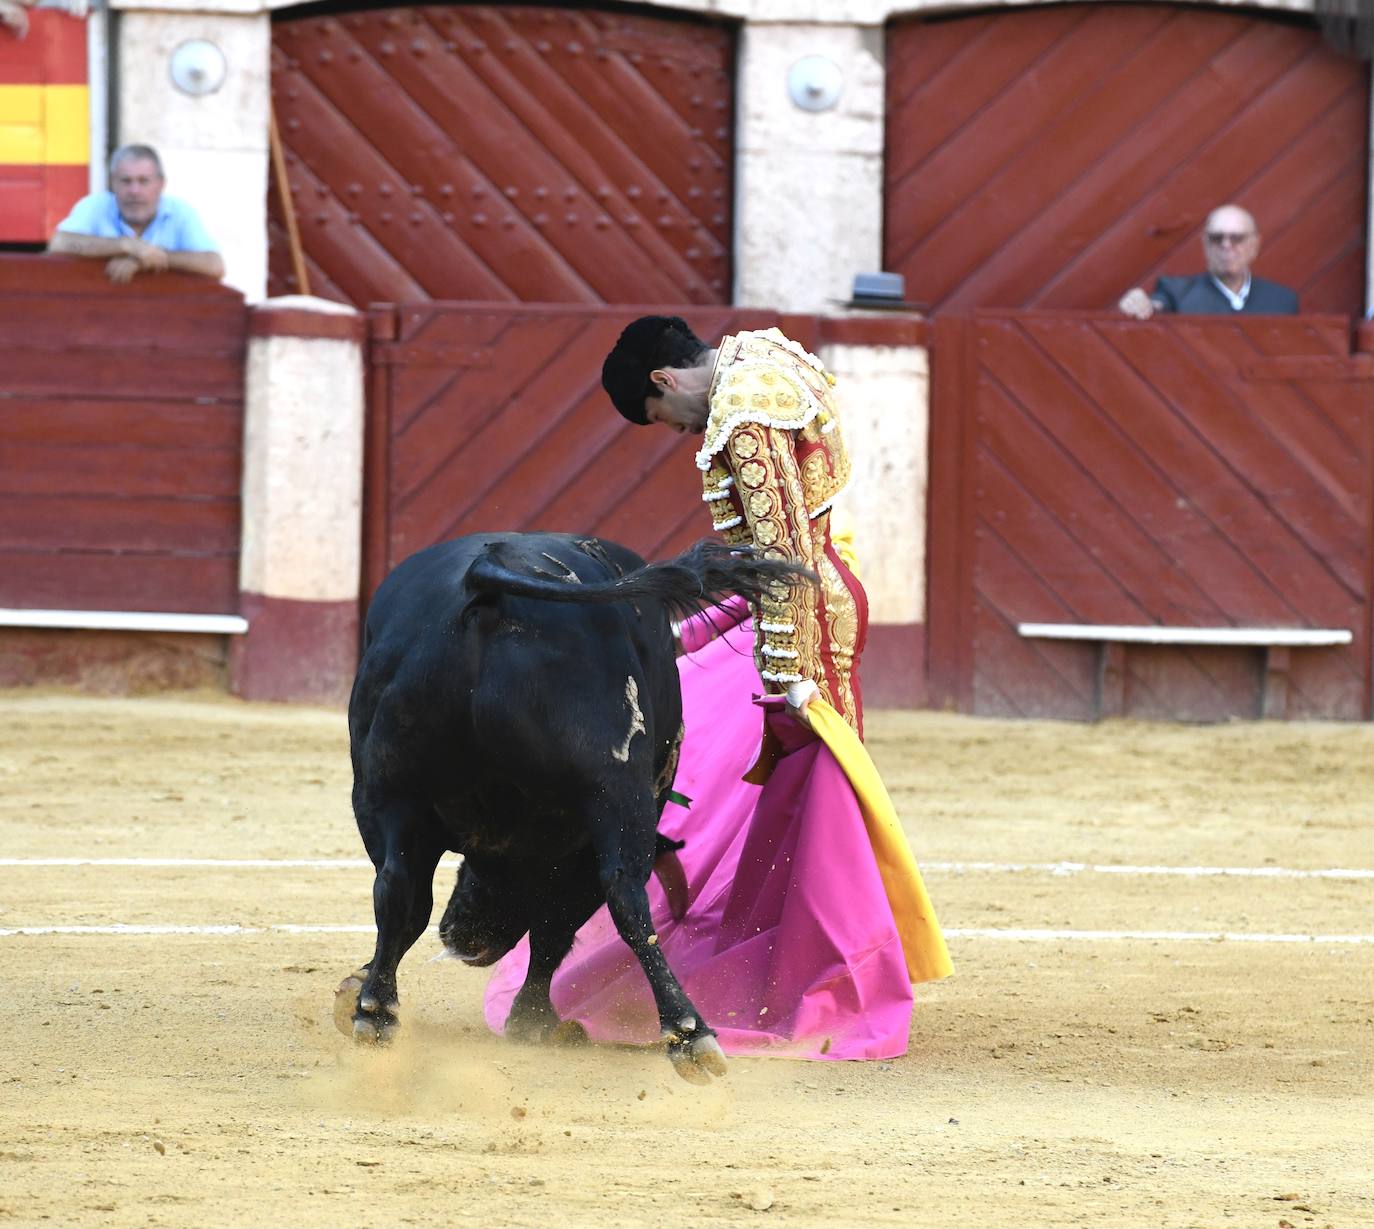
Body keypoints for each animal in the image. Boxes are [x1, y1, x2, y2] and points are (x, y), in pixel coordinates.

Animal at [331, 533, 807, 1083]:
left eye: (474, 872)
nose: (459, 935)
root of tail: (485, 581)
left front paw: (358, 988)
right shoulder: (583, 842)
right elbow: (558, 926)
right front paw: (533, 1019)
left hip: (387, 791)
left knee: (397, 889)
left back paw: (375, 1011)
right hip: (616, 795)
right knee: (625, 897)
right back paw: (689, 1033)